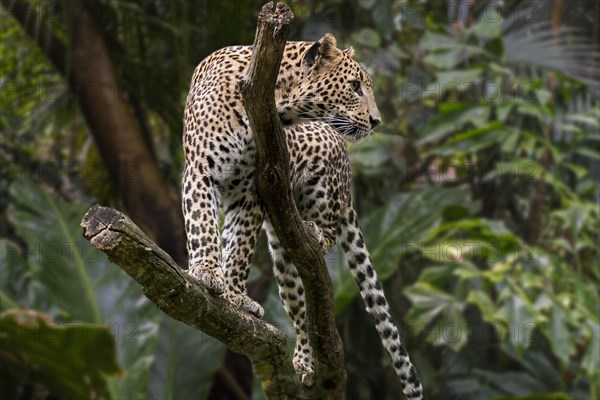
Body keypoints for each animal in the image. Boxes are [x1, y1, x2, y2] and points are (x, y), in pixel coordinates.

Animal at [182, 32, 422, 398]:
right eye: (355, 86)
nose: (376, 121)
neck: (277, 103)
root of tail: (348, 171)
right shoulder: (200, 171)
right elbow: (203, 226)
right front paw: (208, 272)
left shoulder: (251, 192)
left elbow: (240, 249)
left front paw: (236, 295)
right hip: (284, 255)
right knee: (300, 305)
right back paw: (304, 362)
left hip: (319, 189)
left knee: (324, 244)